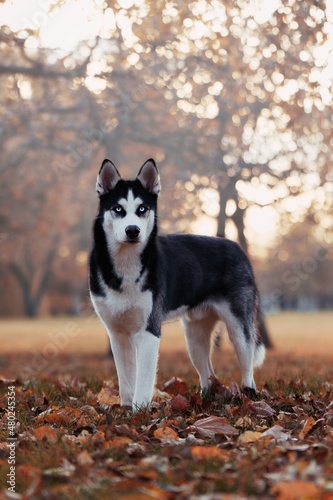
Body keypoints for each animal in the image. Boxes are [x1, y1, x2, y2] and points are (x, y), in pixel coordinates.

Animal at [88, 160, 264, 410]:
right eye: (118, 209)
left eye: (142, 209)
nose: (133, 230)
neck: (126, 265)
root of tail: (238, 248)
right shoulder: (117, 333)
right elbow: (125, 379)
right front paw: (125, 408)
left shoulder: (149, 331)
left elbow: (143, 378)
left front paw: (139, 411)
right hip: (194, 336)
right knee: (207, 373)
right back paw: (204, 399)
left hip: (239, 328)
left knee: (247, 365)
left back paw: (248, 394)